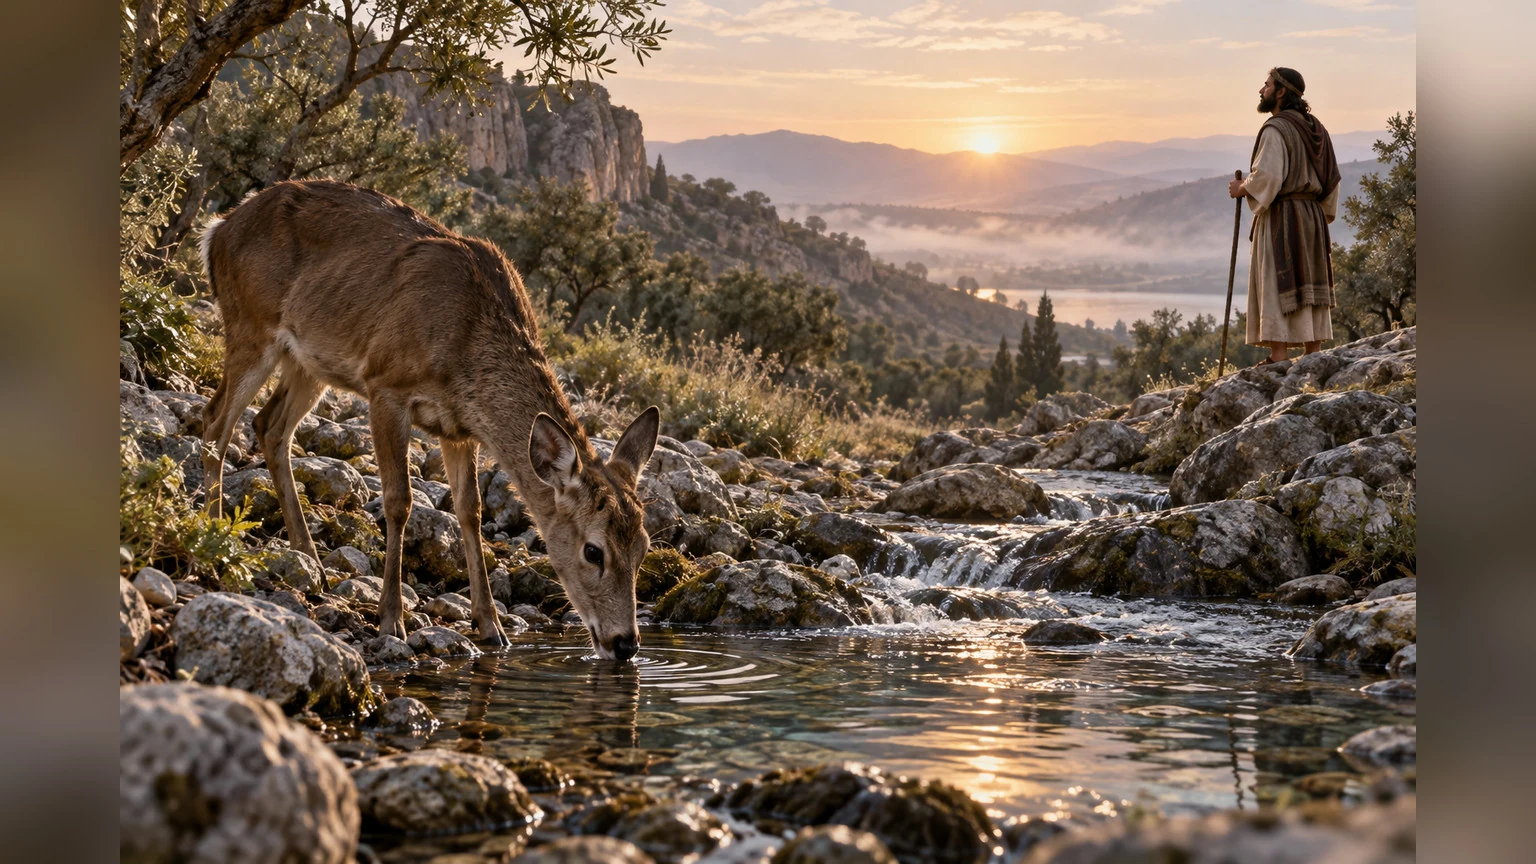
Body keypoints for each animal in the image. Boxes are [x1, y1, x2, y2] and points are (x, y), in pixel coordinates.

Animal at [196, 179, 658, 661]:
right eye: (593, 551)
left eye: (644, 548)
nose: (626, 643)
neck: (468, 349)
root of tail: (217, 230)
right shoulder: (385, 384)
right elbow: (399, 501)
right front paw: (391, 620)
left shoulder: (459, 428)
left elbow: (470, 510)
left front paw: (491, 627)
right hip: (249, 322)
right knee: (215, 420)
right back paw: (215, 534)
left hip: (308, 361)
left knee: (268, 426)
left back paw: (311, 561)